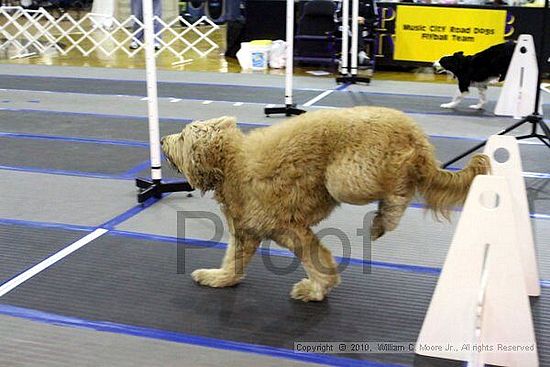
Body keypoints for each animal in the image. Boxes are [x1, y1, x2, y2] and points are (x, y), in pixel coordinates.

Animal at [161, 105, 492, 302]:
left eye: (183, 136)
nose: (163, 140)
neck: (230, 162)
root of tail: (414, 134)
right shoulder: (249, 233)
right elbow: (234, 262)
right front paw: (219, 279)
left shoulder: (289, 229)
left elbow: (316, 259)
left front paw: (317, 289)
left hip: (348, 176)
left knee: (399, 190)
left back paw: (386, 217)